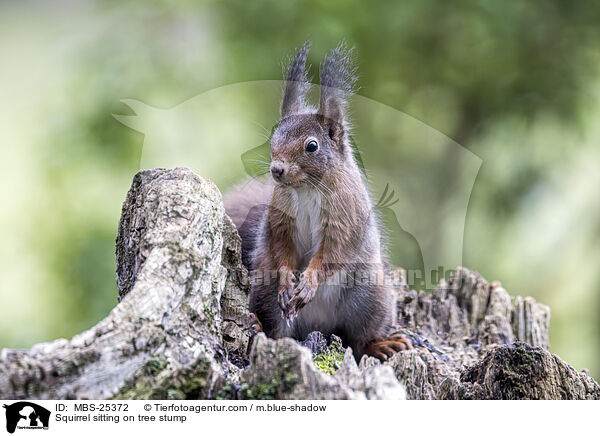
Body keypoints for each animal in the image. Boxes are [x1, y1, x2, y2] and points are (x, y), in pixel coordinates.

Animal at [225, 41, 412, 362]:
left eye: (311, 146)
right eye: (273, 138)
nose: (277, 169)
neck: (307, 189)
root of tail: (318, 326)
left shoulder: (346, 218)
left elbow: (334, 251)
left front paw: (308, 283)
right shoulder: (280, 217)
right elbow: (281, 245)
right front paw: (288, 280)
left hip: (370, 296)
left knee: (359, 339)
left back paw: (383, 345)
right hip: (264, 289)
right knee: (277, 330)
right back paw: (258, 325)